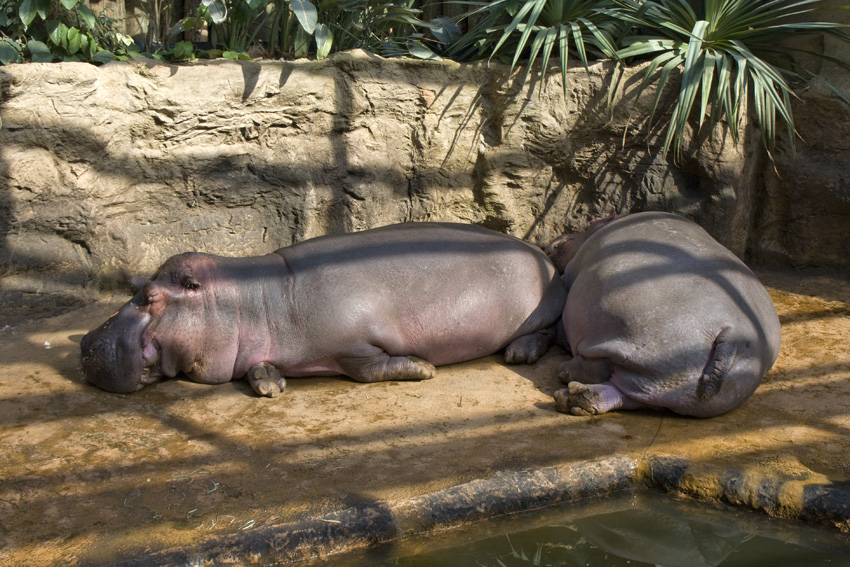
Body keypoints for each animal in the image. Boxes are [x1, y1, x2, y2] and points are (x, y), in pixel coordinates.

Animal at [83, 222, 568, 394]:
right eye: (135, 284)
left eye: (150, 296)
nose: (87, 342)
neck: (251, 300)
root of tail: (540, 253)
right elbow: (258, 367)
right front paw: (270, 385)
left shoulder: (354, 342)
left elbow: (370, 368)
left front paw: (423, 368)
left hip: (543, 307)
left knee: (548, 329)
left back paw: (518, 353)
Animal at [548, 212, 780, 418]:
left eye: (592, 220)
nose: (556, 240)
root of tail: (736, 334)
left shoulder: (572, 270)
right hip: (668, 385)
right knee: (627, 395)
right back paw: (574, 397)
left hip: (628, 337)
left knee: (596, 366)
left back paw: (566, 374)